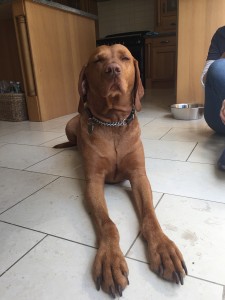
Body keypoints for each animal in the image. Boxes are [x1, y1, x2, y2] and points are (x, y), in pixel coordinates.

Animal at [55, 44, 187, 298]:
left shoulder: (139, 176)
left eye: (125, 58)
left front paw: (163, 247)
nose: (112, 70)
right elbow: (108, 224)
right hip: (70, 125)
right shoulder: (93, 182)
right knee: (73, 138)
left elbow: (150, 215)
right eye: (98, 60)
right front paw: (110, 259)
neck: (112, 122)